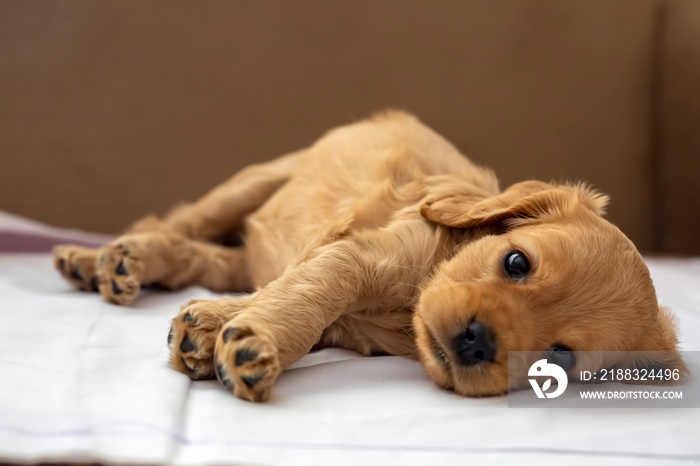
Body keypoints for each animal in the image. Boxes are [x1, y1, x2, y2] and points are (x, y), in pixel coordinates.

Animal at [56, 110, 684, 400]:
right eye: (516, 263)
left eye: (561, 358)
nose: (477, 341)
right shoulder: (357, 253)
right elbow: (309, 293)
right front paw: (251, 341)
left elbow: (283, 295)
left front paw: (213, 326)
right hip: (255, 180)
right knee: (180, 221)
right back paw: (98, 259)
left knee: (204, 258)